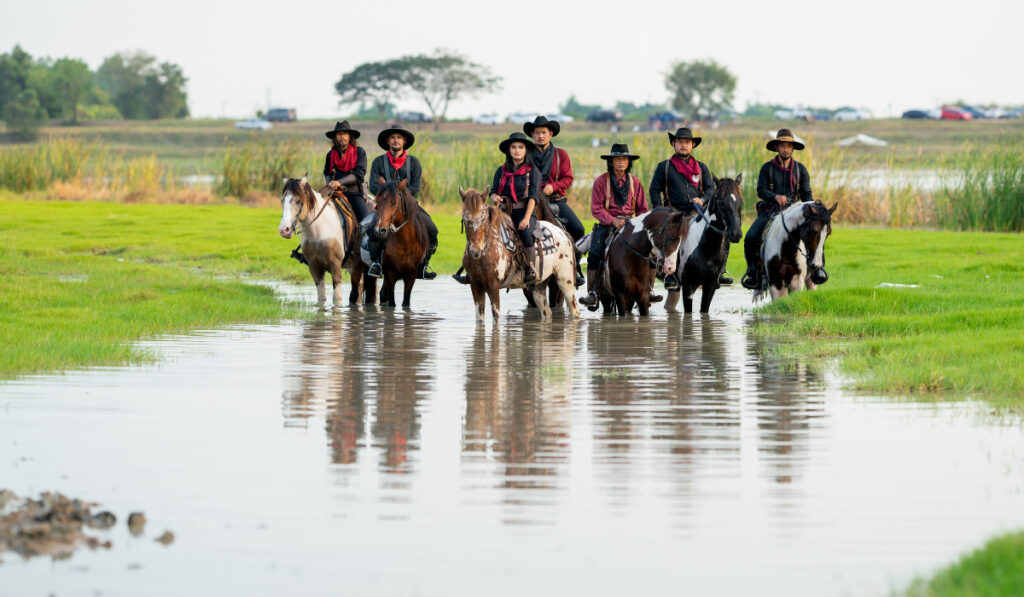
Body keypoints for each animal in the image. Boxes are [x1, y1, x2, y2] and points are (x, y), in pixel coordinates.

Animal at [276, 176, 368, 309]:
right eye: (282, 200)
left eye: (298, 201)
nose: (284, 230)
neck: (319, 234)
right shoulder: (315, 268)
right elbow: (321, 298)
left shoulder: (336, 267)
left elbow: (337, 299)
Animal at [460, 186, 581, 321]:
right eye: (465, 219)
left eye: (483, 218)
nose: (476, 251)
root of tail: (563, 233)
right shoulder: (475, 286)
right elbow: (480, 321)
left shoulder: (493, 286)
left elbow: (496, 319)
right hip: (539, 287)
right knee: (547, 313)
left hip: (565, 282)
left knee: (574, 310)